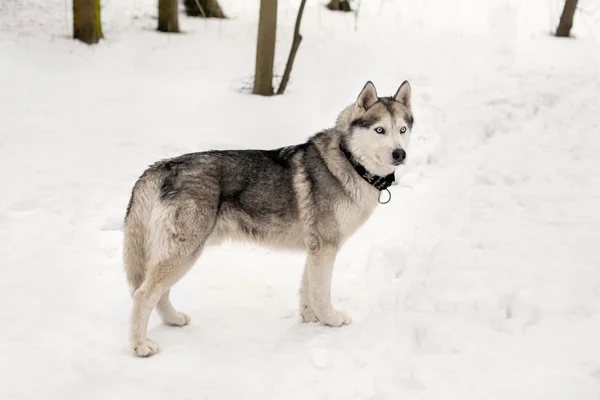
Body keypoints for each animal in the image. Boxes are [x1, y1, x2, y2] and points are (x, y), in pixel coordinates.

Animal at [122, 80, 412, 356]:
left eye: (402, 129)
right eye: (380, 130)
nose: (400, 154)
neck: (350, 162)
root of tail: (165, 166)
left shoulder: (314, 249)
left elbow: (307, 289)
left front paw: (310, 318)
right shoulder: (326, 247)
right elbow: (322, 292)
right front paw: (331, 320)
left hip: (177, 253)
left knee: (158, 294)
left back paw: (173, 320)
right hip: (184, 252)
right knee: (143, 294)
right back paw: (140, 346)